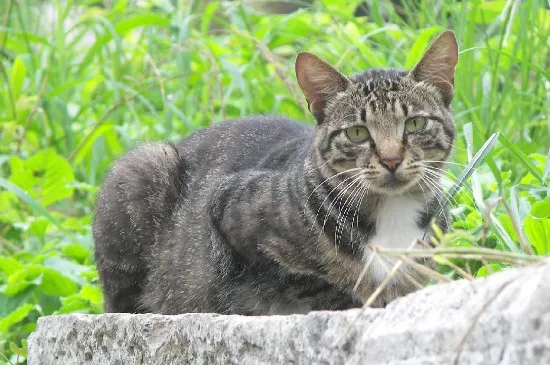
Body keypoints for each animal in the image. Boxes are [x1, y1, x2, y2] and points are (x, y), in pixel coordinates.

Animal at [92, 30, 460, 312]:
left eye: (415, 124)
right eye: (357, 132)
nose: (391, 159)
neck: (392, 213)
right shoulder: (230, 212)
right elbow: (313, 282)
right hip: (144, 165)